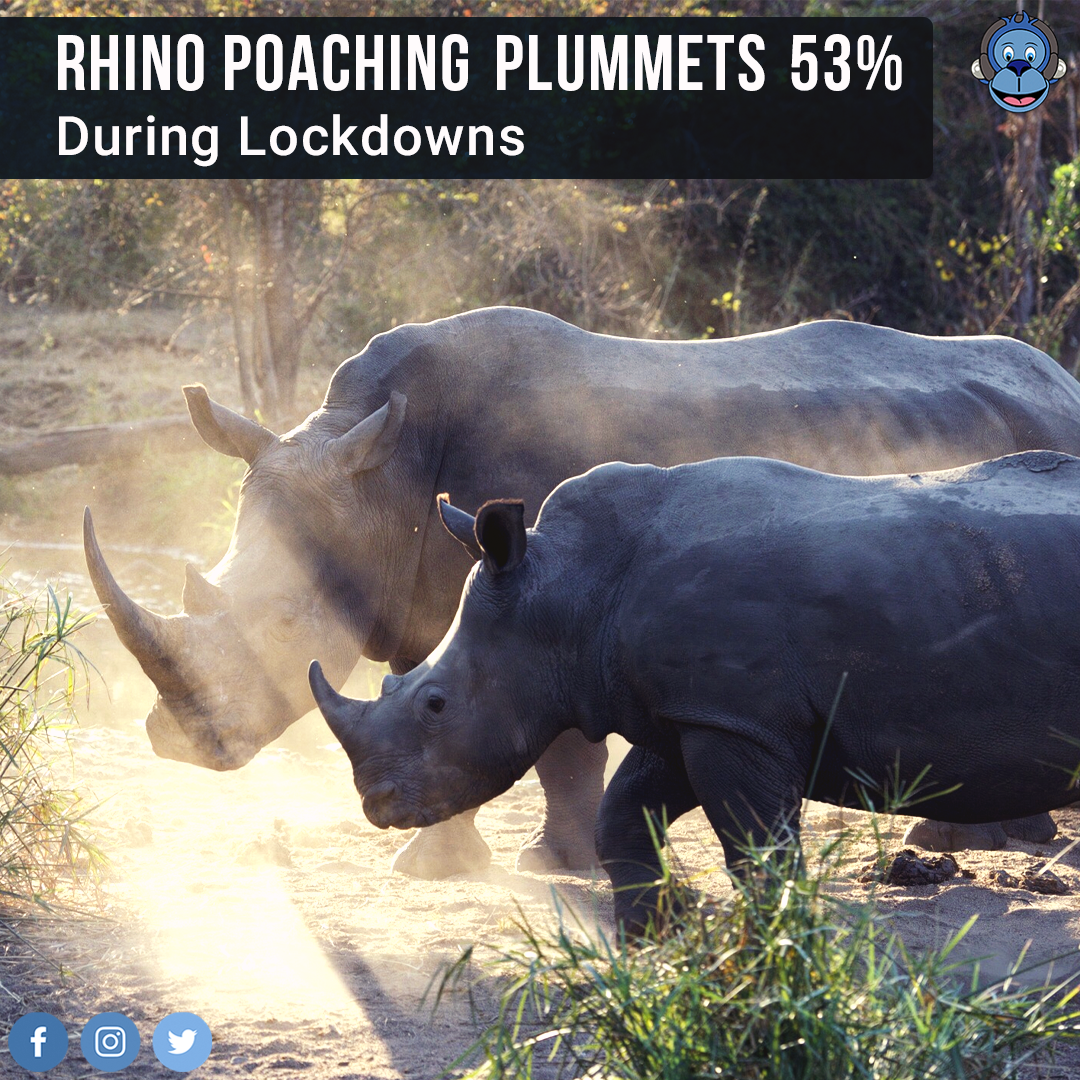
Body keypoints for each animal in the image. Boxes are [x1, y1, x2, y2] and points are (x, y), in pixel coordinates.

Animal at [84, 308, 1080, 879]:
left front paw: (545, 867)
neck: (377, 481)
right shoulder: (438, 596)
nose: (179, 742)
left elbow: (556, 744)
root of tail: (1060, 377)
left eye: (286, 623)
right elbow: (433, 697)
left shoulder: (544, 590)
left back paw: (989, 847)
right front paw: (430, 865)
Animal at [311, 451, 1080, 930]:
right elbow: (625, 813)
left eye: (435, 704)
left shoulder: (735, 718)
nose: (377, 804)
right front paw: (659, 934)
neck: (567, 590)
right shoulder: (690, 711)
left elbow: (755, 847)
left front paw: (778, 950)